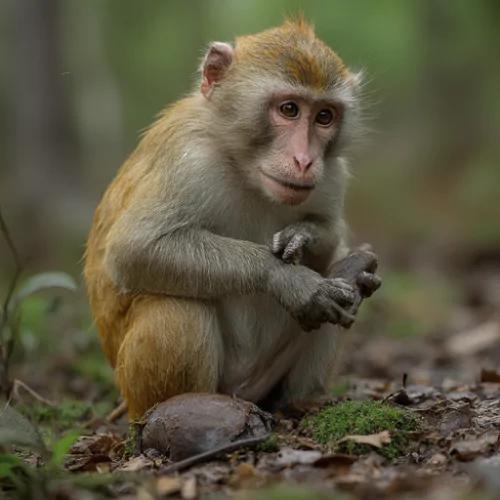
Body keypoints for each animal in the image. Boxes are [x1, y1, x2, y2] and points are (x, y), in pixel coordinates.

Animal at [84, 15, 376, 418]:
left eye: (324, 116)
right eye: (289, 109)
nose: (305, 160)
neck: (243, 164)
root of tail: (245, 391)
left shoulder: (332, 174)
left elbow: (331, 233)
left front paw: (304, 236)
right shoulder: (190, 159)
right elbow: (134, 249)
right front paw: (289, 280)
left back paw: (305, 396)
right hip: (142, 391)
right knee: (177, 307)